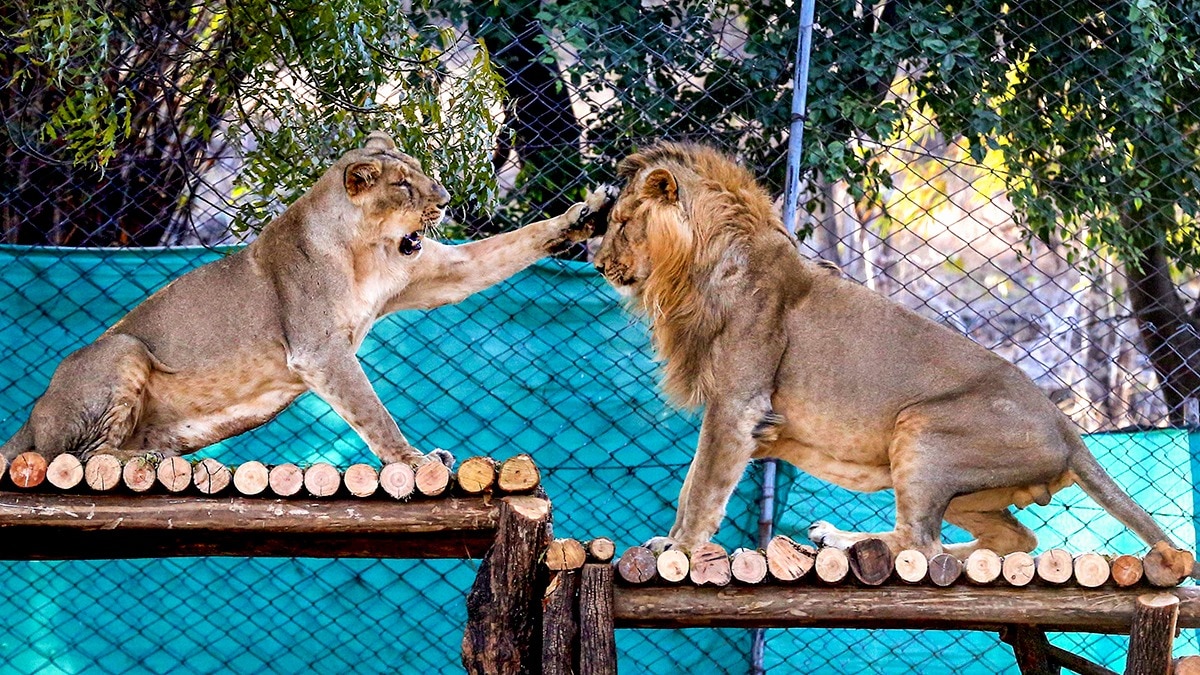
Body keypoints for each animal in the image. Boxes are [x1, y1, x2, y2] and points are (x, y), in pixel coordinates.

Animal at [1, 132, 613, 468]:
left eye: (422, 174)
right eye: (404, 185)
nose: (444, 199)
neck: (366, 248)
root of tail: (27, 423)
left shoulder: (435, 273)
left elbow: (506, 247)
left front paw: (581, 216)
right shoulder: (319, 351)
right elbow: (373, 412)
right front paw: (412, 462)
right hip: (121, 351)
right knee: (76, 455)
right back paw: (144, 459)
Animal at [592, 141, 1187, 564]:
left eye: (621, 223)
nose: (597, 263)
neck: (695, 274)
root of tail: (1068, 428)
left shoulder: (738, 405)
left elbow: (701, 487)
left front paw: (680, 549)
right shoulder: (733, 411)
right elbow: (693, 478)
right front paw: (668, 543)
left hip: (921, 430)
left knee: (919, 544)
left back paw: (837, 539)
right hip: (971, 488)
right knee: (1011, 540)